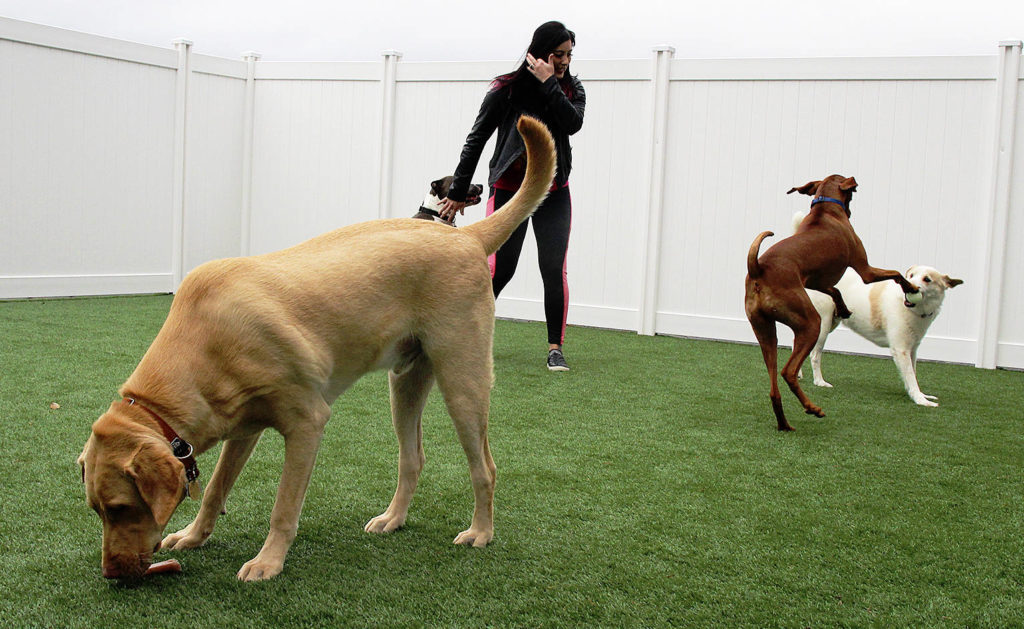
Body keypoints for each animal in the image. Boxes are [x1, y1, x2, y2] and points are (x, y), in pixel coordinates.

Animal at [79, 114, 561, 581]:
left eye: (122, 508)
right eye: (96, 510)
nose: (110, 574)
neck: (201, 346)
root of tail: (465, 237)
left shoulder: (307, 422)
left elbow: (283, 508)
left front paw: (268, 562)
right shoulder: (244, 427)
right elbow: (216, 488)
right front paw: (194, 535)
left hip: (463, 380)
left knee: (485, 467)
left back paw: (481, 531)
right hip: (404, 384)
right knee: (413, 458)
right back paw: (393, 519)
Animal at [745, 177, 921, 434]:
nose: (851, 211)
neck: (824, 208)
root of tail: (758, 268)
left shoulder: (818, 281)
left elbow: (835, 290)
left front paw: (844, 309)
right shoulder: (865, 270)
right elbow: (896, 273)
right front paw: (912, 287)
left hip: (766, 333)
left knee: (773, 387)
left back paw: (784, 423)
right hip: (810, 324)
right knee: (789, 372)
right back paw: (812, 408)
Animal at [802, 268, 962, 409]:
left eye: (927, 279)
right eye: (911, 275)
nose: (910, 287)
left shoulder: (912, 349)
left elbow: (913, 374)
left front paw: (920, 395)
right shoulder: (901, 349)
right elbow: (911, 376)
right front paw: (920, 400)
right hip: (823, 325)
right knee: (814, 355)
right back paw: (819, 381)